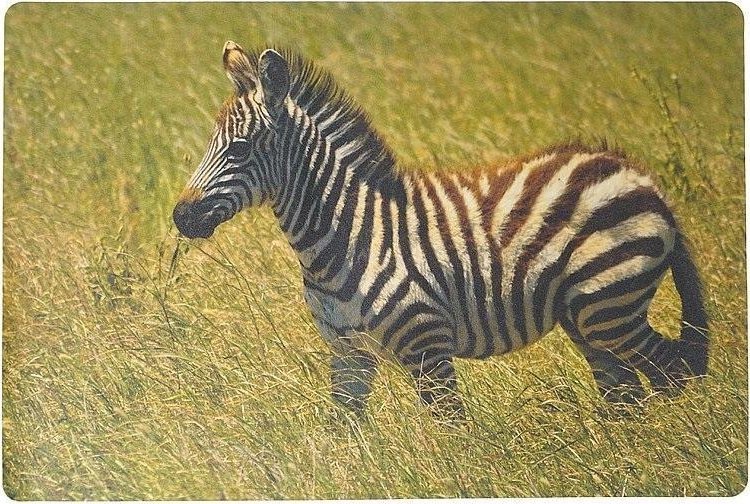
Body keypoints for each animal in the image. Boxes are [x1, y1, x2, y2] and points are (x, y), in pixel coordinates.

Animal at [173, 42, 708, 419]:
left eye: (240, 149)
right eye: (210, 143)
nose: (181, 217)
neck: (348, 235)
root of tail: (640, 176)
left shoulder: (427, 346)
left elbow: (454, 431)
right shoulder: (347, 355)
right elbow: (341, 434)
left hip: (610, 306)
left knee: (673, 373)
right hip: (586, 317)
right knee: (627, 396)